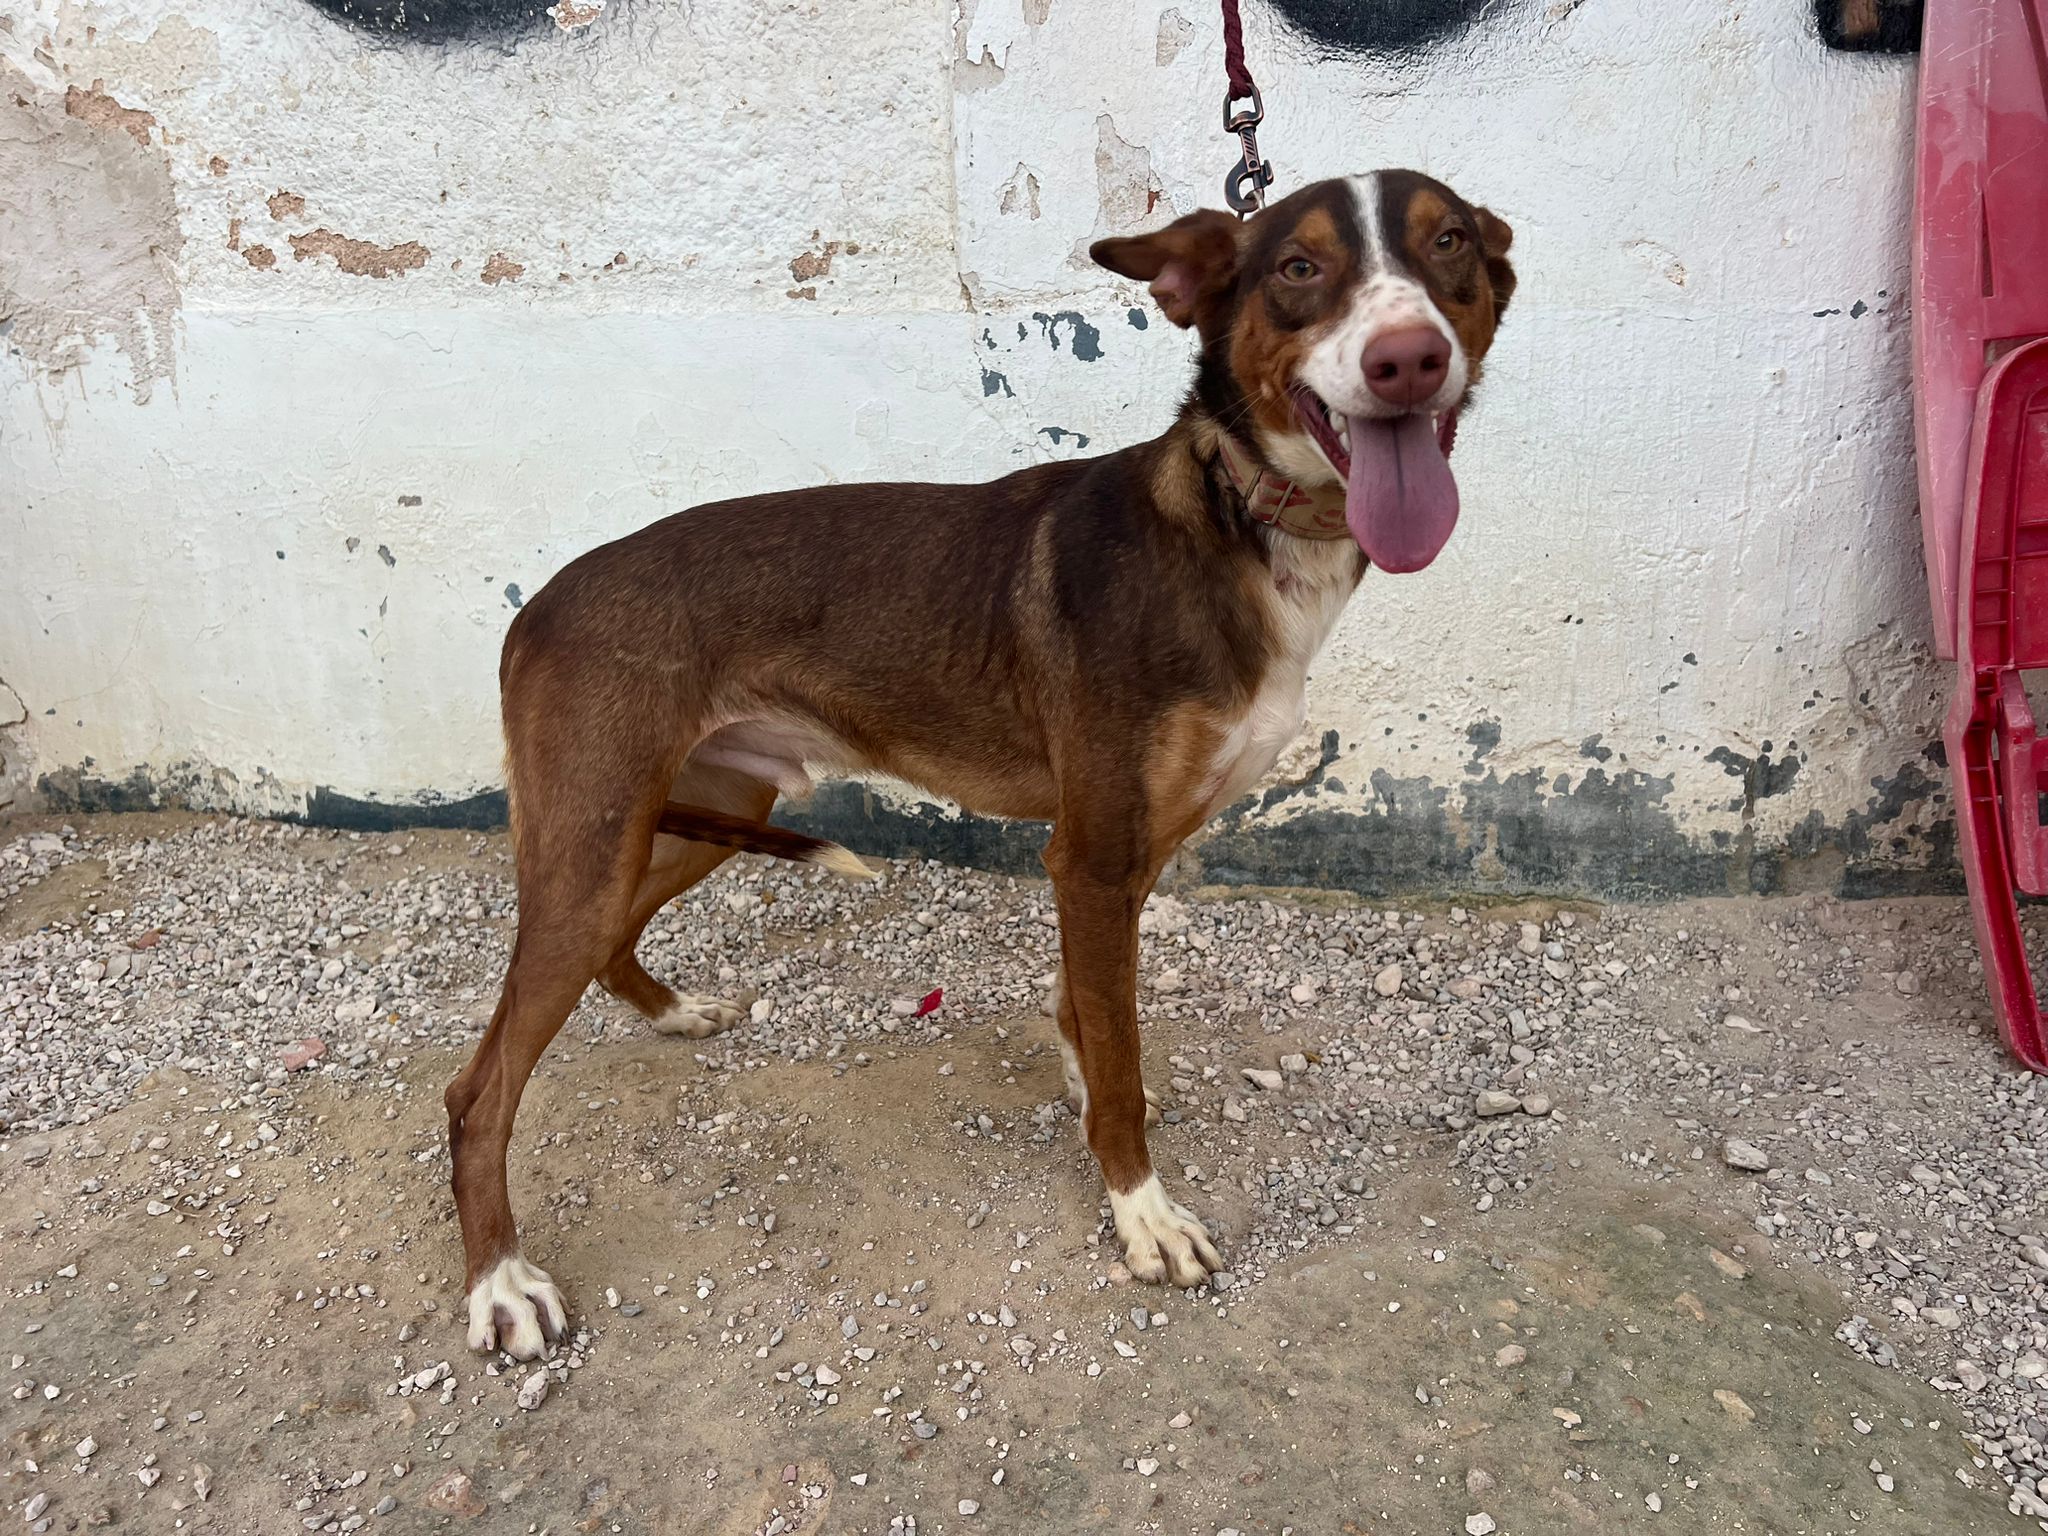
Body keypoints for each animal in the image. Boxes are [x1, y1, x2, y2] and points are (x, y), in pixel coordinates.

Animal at [445, 169, 1516, 1358]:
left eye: (1449, 243)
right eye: (1298, 266)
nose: (1408, 358)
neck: (1232, 518)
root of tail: (535, 608)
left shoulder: (1129, 847)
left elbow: (1089, 1019)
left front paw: (1087, 1097)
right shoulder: (1091, 856)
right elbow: (1119, 1059)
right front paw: (1142, 1212)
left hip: (700, 806)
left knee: (611, 944)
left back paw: (673, 1013)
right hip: (595, 839)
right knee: (477, 1093)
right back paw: (500, 1284)